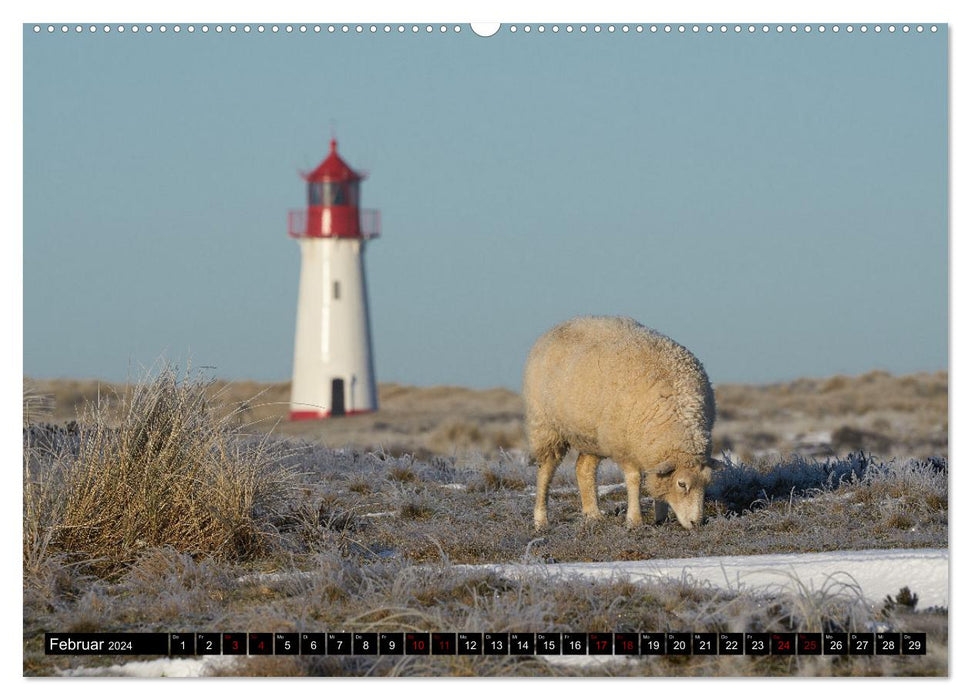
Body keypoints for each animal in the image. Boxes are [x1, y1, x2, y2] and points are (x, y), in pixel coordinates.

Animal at [524, 318, 720, 532]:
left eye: (707, 483)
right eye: (682, 484)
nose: (697, 523)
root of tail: (557, 327)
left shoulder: (649, 448)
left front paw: (661, 517)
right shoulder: (625, 448)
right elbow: (634, 479)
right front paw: (634, 520)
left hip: (593, 436)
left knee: (583, 468)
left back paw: (593, 515)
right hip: (547, 426)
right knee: (546, 470)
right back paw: (541, 519)